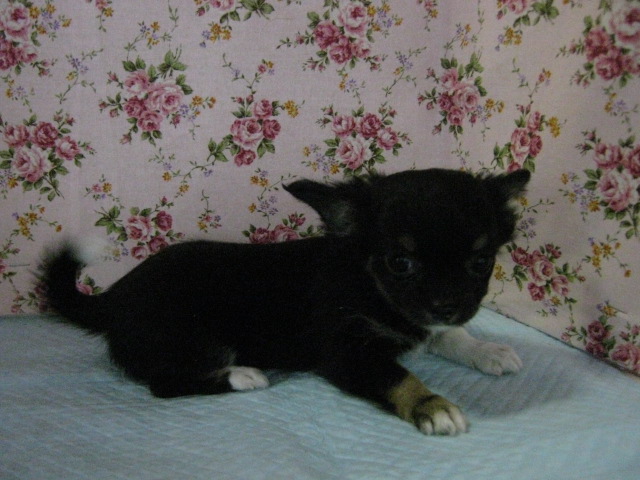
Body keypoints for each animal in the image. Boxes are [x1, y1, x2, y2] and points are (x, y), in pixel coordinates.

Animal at [40, 167, 530, 436]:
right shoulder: (348, 352)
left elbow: (449, 336)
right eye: (401, 263)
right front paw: (434, 406)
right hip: (195, 337)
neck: (368, 280)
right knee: (165, 384)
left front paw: (488, 350)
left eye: (481, 261)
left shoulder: (420, 321)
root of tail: (112, 300)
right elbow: (400, 377)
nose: (447, 305)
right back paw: (242, 376)